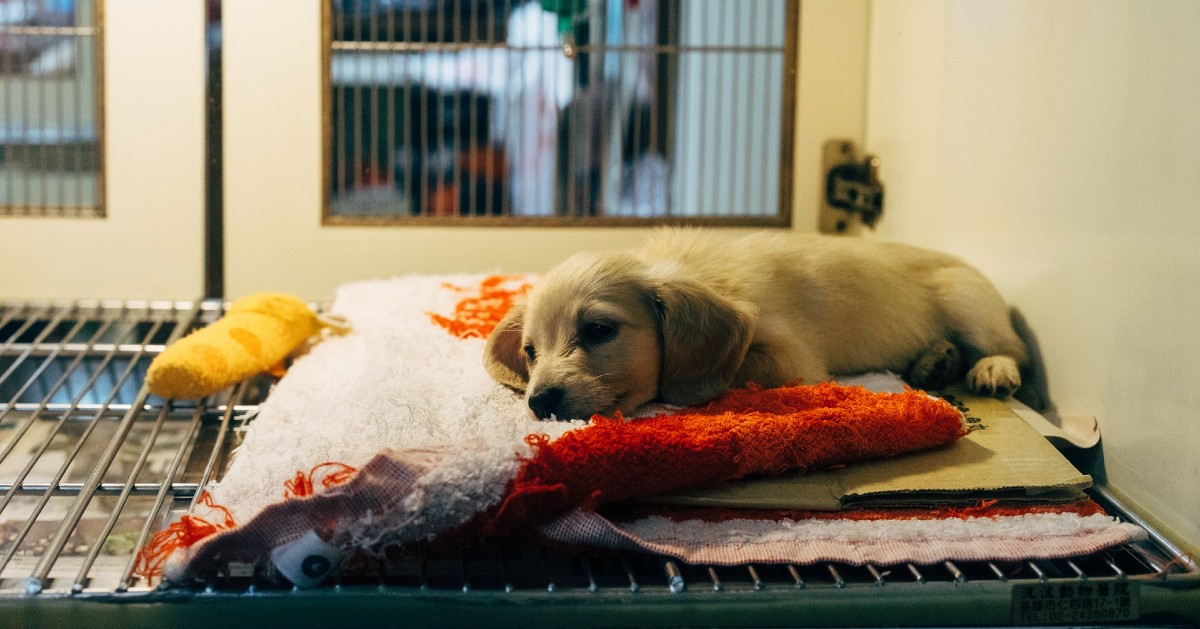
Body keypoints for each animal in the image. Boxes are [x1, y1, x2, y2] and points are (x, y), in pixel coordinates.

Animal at [482, 228, 1027, 420]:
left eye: (598, 330)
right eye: (530, 352)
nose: (540, 403)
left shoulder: (793, 358)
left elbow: (735, 370)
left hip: (967, 301)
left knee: (1010, 349)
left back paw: (992, 368)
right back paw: (936, 360)